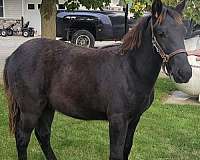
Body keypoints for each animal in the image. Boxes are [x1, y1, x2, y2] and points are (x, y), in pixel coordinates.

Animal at [2, 0, 191, 159]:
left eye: (183, 32)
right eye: (160, 33)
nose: (184, 73)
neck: (130, 69)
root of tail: (13, 56)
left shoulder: (134, 119)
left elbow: (126, 149)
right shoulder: (118, 120)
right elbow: (116, 153)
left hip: (47, 107)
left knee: (43, 135)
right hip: (30, 109)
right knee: (22, 139)